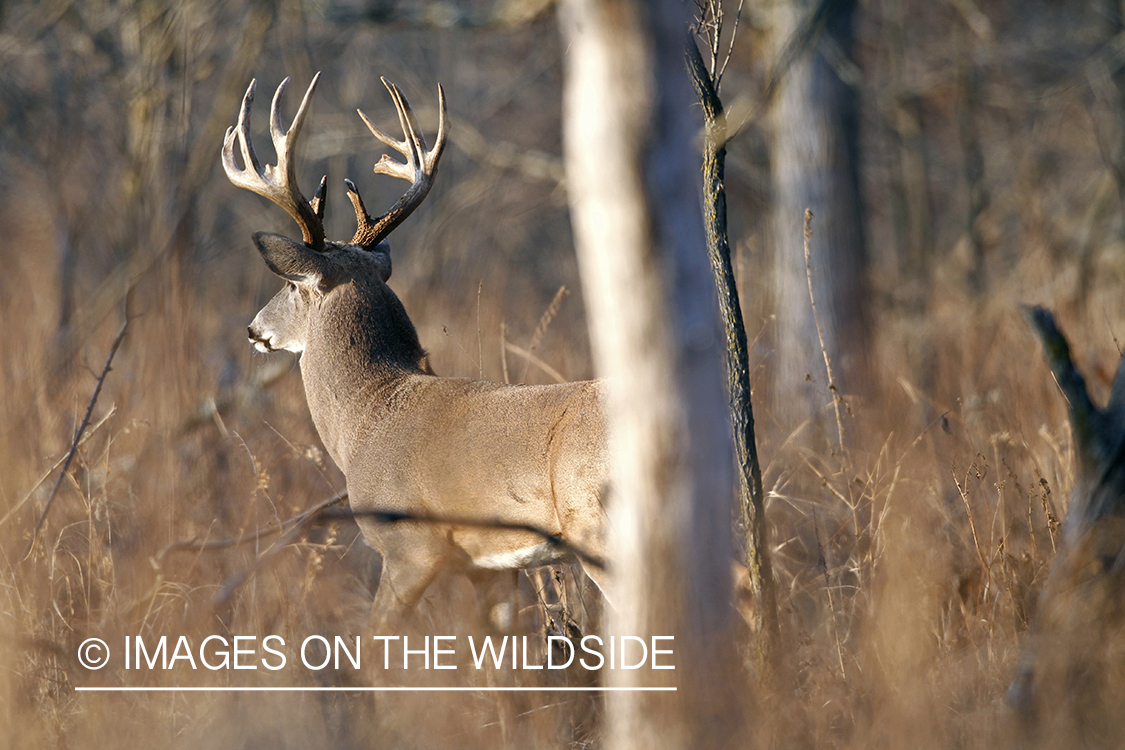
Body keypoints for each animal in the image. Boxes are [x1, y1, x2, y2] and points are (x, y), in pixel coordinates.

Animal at [222, 74, 612, 629]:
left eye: (292, 283)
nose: (254, 328)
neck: (367, 414)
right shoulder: (489, 568)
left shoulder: (410, 548)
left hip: (598, 531)